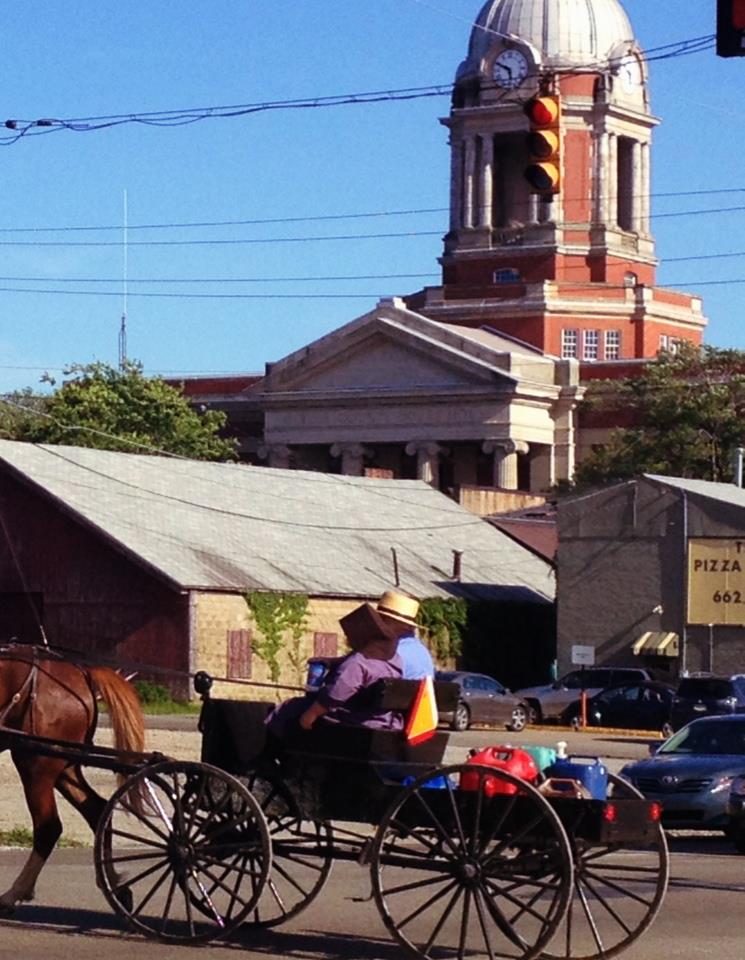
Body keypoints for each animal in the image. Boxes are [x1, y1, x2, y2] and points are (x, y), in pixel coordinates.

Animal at [0, 644, 144, 916]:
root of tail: (82, 675)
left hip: (36, 764)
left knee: (48, 827)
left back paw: (12, 894)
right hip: (63, 768)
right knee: (96, 811)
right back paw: (114, 886)